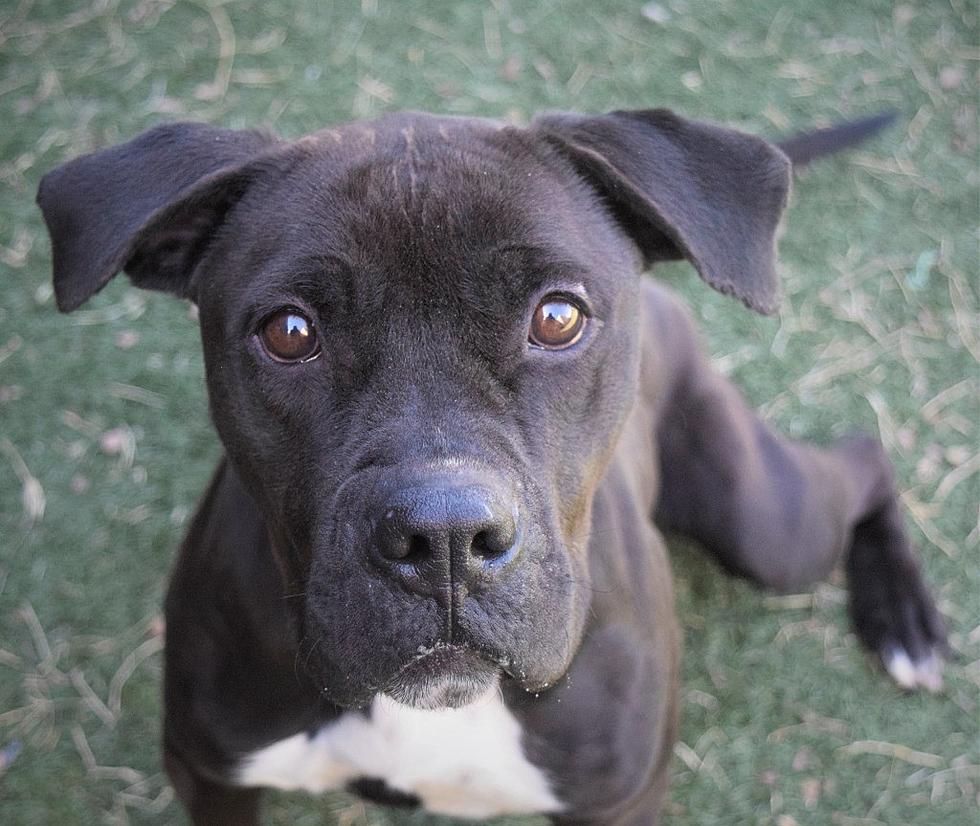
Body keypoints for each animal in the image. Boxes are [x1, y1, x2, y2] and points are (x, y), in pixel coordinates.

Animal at [34, 109, 944, 824]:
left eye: (558, 317)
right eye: (289, 333)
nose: (442, 539)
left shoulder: (621, 799)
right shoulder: (210, 774)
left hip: (764, 524)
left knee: (865, 457)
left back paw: (905, 623)